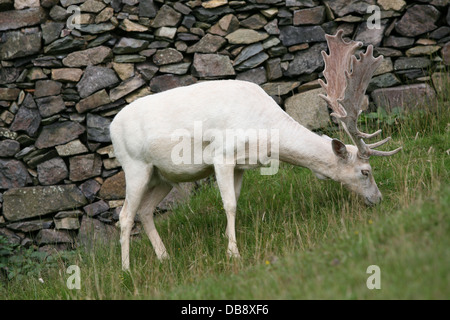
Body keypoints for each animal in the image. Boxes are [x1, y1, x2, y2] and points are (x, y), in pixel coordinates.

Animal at [111, 30, 400, 270]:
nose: (378, 199)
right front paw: (233, 254)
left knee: (145, 211)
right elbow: (228, 204)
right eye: (365, 171)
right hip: (135, 166)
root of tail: (111, 128)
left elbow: (236, 201)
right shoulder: (221, 156)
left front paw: (229, 243)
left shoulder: (241, 165)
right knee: (124, 215)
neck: (265, 134)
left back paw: (165, 257)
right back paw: (127, 270)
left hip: (162, 176)